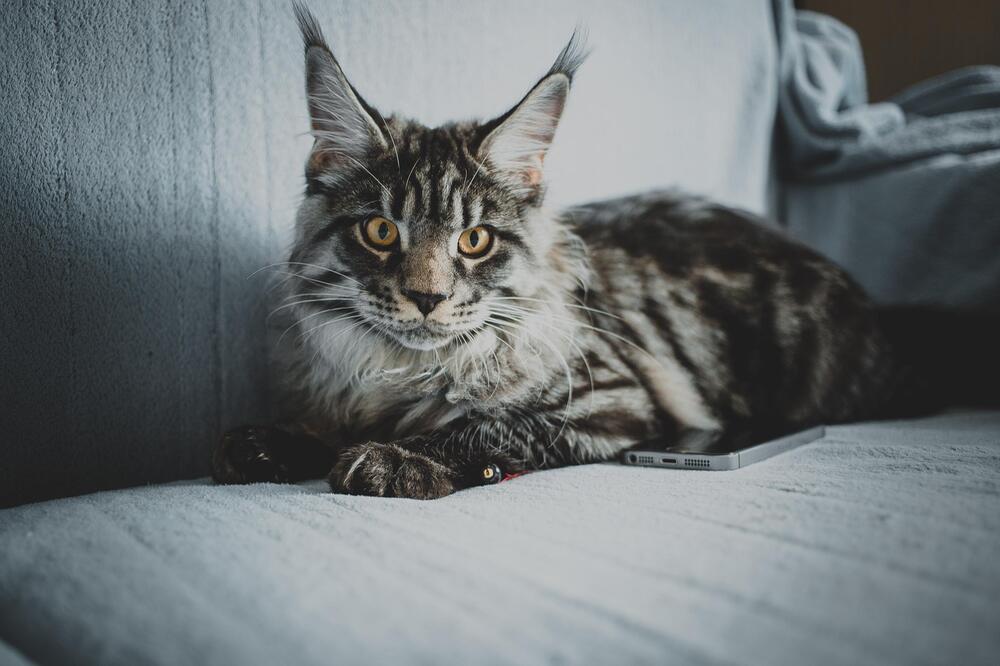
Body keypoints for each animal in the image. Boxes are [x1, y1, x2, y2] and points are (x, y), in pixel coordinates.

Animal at [211, 2, 916, 496]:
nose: (426, 297)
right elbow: (328, 425)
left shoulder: (609, 400)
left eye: (474, 240)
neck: (402, 370)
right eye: (381, 232)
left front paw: (395, 459)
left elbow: (477, 425)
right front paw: (270, 443)